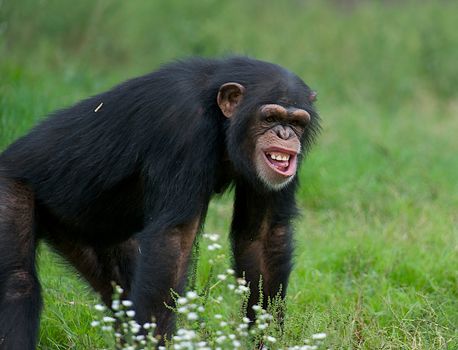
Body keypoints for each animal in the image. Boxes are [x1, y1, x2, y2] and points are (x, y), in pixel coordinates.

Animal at [0, 56, 318, 348]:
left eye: (296, 122)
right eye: (270, 118)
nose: (285, 134)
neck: (220, 119)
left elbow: (263, 236)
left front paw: (266, 338)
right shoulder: (183, 128)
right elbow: (173, 240)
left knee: (122, 290)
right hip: (9, 188)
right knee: (17, 283)